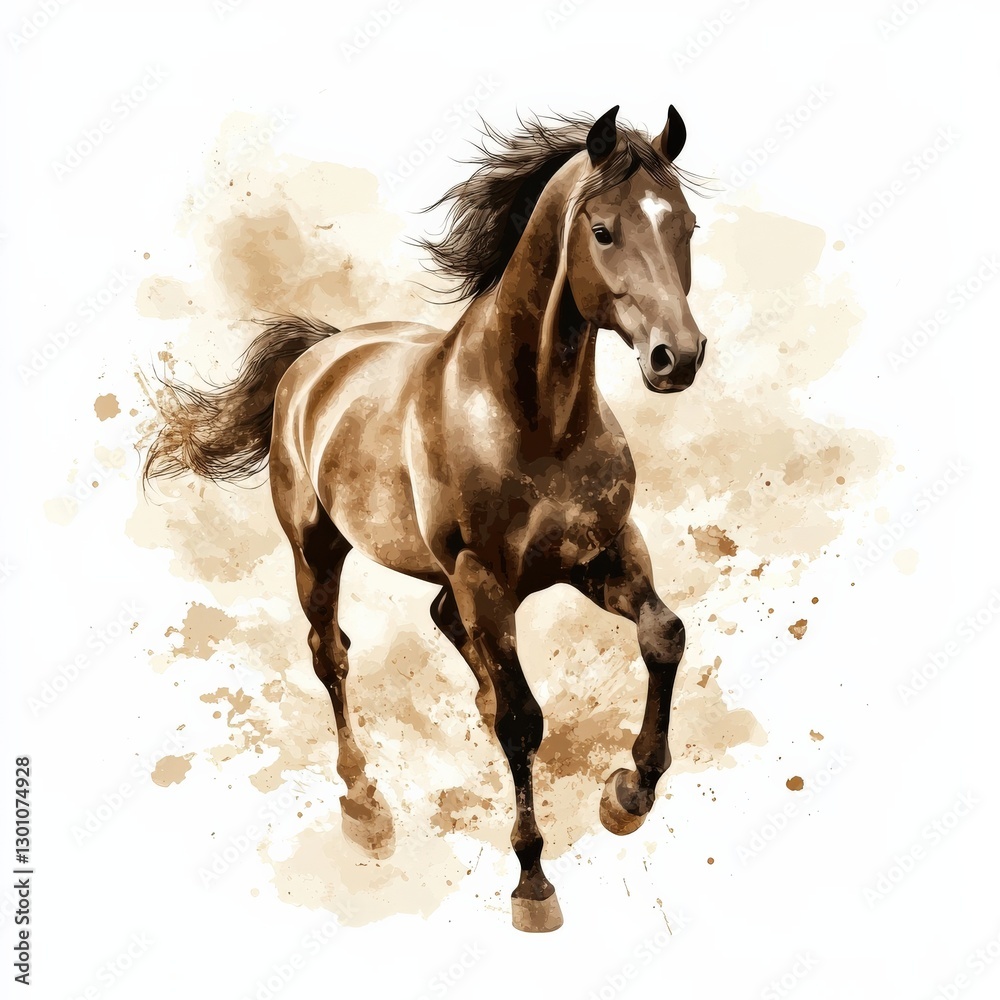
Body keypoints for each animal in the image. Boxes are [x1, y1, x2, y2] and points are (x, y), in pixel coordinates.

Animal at [145, 104, 707, 932]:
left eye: (686, 225)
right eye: (603, 230)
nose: (679, 357)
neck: (533, 417)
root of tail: (317, 358)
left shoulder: (601, 552)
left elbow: (664, 636)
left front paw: (627, 795)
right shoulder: (485, 576)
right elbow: (522, 720)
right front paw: (532, 882)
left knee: (444, 627)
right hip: (317, 551)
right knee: (332, 656)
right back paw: (364, 806)